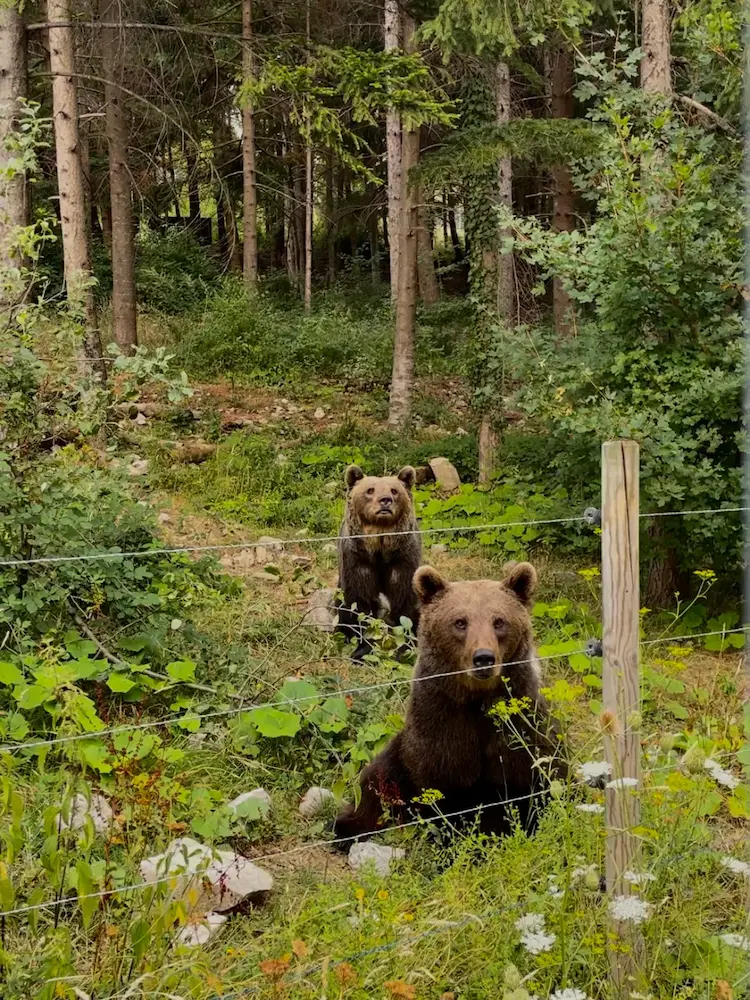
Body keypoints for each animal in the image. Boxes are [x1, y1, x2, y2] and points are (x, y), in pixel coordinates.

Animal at [332, 564, 568, 844]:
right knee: (375, 782)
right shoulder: (439, 724)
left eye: (499, 621)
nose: (483, 658)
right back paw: (347, 826)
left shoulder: (523, 726)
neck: (475, 699)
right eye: (460, 622)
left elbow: (537, 780)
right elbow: (444, 788)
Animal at [336, 464, 424, 660]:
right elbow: (360, 601)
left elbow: (405, 598)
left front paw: (404, 648)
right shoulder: (358, 559)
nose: (385, 500)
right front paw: (362, 650)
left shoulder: (403, 558)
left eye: (394, 490)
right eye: (370, 490)